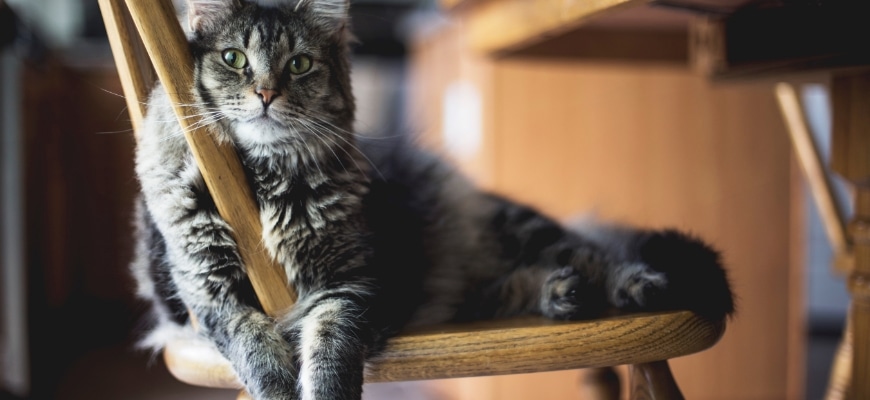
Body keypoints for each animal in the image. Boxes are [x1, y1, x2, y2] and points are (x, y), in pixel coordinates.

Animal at [133, 0, 736, 400]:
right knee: (517, 283)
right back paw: (561, 295)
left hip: (521, 229)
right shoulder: (210, 295)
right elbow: (254, 349)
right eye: (234, 58)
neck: (262, 180)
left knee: (594, 253)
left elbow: (329, 352)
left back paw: (633, 285)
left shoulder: (352, 285)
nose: (264, 94)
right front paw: (279, 386)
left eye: (299, 64)